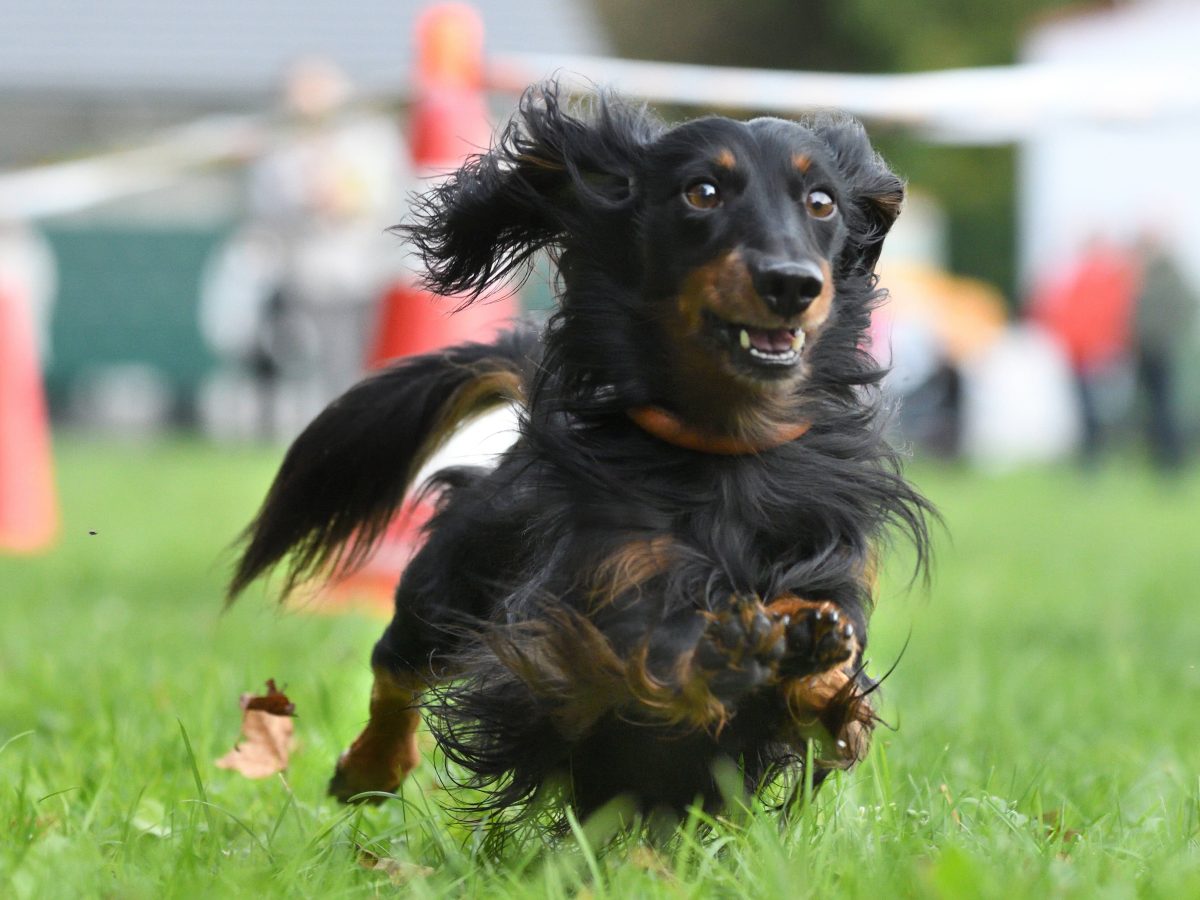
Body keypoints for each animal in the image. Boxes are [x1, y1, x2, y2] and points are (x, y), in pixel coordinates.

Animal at [229, 82, 931, 825]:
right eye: (702, 191)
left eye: (822, 201)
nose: (792, 283)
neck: (726, 449)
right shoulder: (588, 602)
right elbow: (640, 653)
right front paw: (733, 645)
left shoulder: (828, 565)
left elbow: (836, 680)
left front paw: (812, 652)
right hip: (448, 577)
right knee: (397, 665)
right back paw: (367, 767)